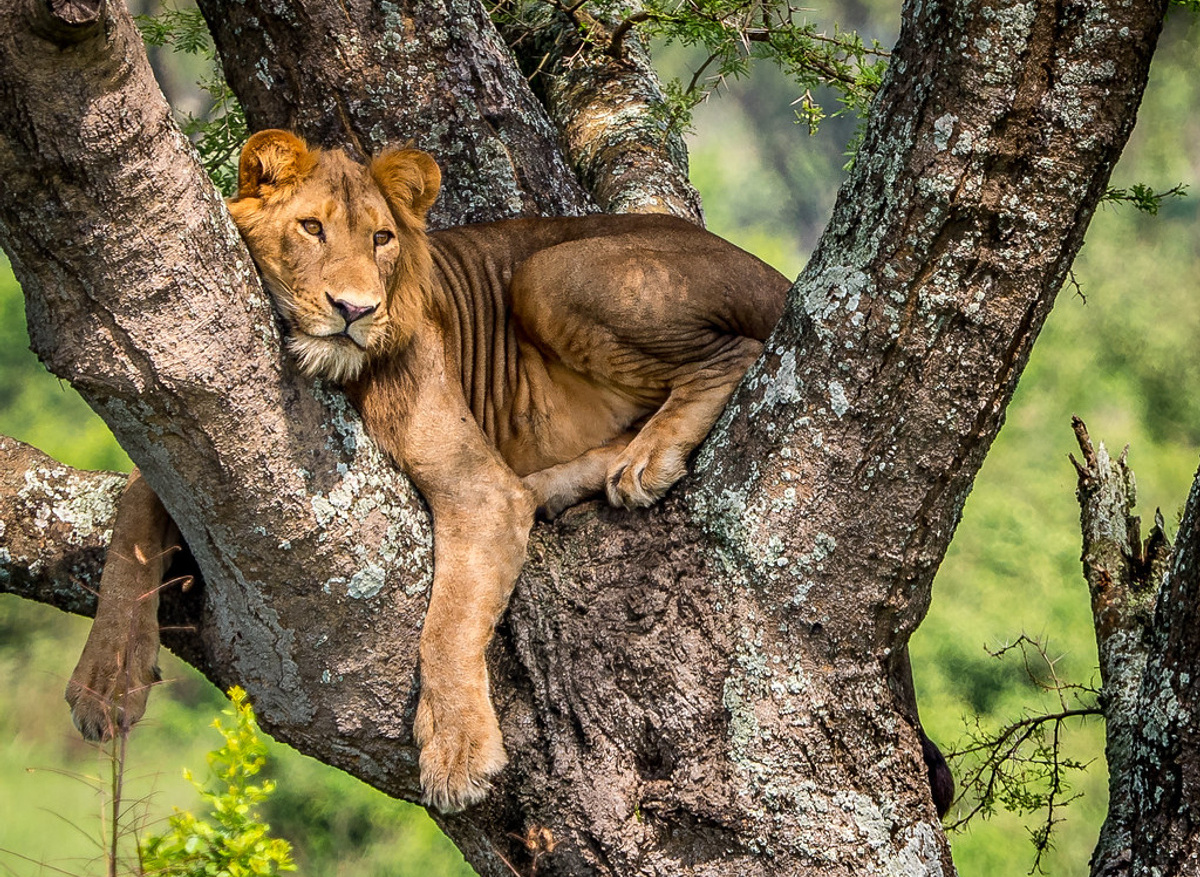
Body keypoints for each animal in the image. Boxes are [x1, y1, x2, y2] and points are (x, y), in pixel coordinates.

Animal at [66, 129, 790, 812]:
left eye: (382, 238)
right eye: (311, 228)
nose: (355, 310)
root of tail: (768, 270)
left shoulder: (481, 488)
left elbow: (448, 622)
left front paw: (457, 751)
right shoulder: (181, 445)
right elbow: (133, 512)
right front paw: (103, 683)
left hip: (546, 272)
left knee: (735, 353)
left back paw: (646, 458)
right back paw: (559, 484)